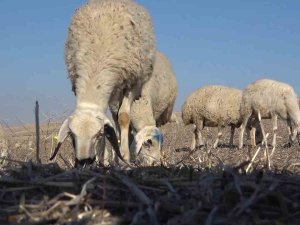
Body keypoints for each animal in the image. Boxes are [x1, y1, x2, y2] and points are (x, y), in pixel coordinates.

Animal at [49, 0, 156, 166]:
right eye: (72, 136)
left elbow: (124, 117)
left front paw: (124, 157)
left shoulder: (131, 84)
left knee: (119, 120)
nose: (84, 161)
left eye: (98, 135)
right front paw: (103, 160)